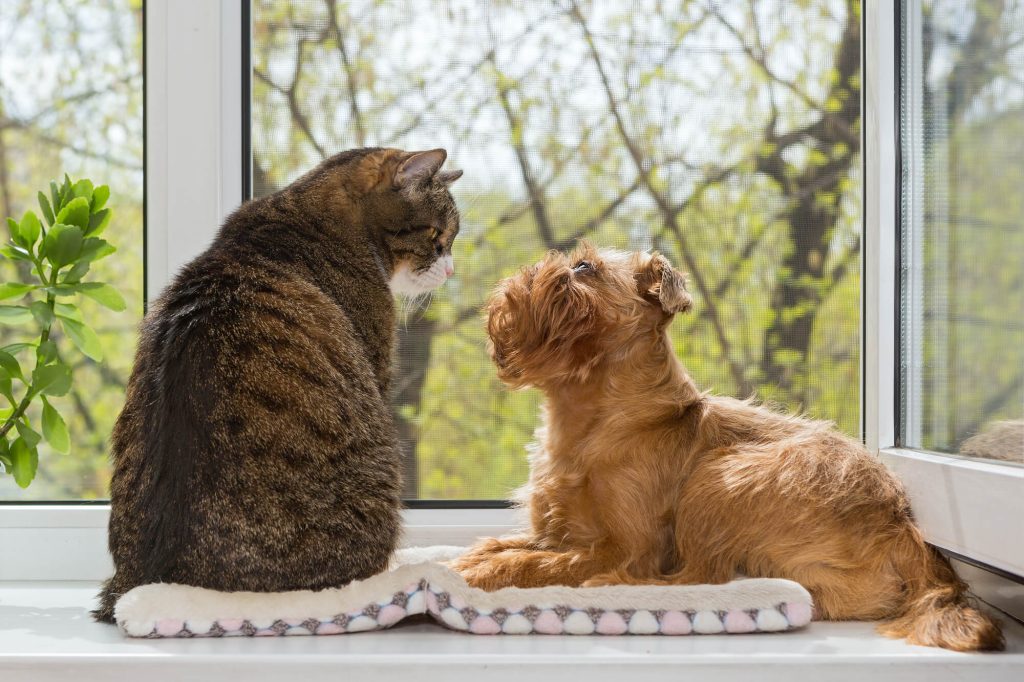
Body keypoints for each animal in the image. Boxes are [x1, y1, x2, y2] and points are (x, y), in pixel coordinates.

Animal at [452, 241, 1003, 651]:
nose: (532, 271)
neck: (583, 418)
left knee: (701, 579)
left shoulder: (628, 548)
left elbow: (542, 561)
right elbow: (503, 543)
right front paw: (471, 558)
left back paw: (612, 588)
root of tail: (905, 528)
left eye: (584, 267)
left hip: (718, 478)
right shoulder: (557, 530)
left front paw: (486, 572)